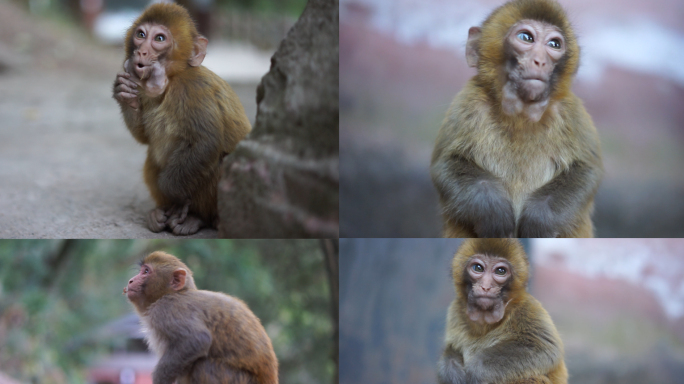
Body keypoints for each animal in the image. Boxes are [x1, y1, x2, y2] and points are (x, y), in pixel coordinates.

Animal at [112, 3, 251, 236]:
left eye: (159, 38)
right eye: (141, 35)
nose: (141, 51)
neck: (171, 80)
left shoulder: (191, 90)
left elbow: (205, 143)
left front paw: (174, 196)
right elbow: (145, 138)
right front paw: (125, 93)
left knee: (218, 163)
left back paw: (197, 218)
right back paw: (159, 213)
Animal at [123, 250, 278, 384]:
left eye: (146, 271)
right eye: (142, 270)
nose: (130, 281)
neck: (174, 293)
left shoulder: (166, 309)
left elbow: (197, 340)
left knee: (204, 366)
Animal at [430, 0, 600, 238]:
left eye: (554, 44)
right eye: (526, 38)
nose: (540, 62)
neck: (521, 115)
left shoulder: (570, 111)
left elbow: (587, 171)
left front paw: (540, 219)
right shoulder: (469, 103)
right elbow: (446, 163)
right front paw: (492, 211)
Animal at [438, 238, 568, 382]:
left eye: (500, 271)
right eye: (478, 268)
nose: (485, 287)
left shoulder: (526, 308)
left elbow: (544, 349)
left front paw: (477, 371)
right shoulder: (455, 311)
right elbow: (451, 349)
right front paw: (451, 371)